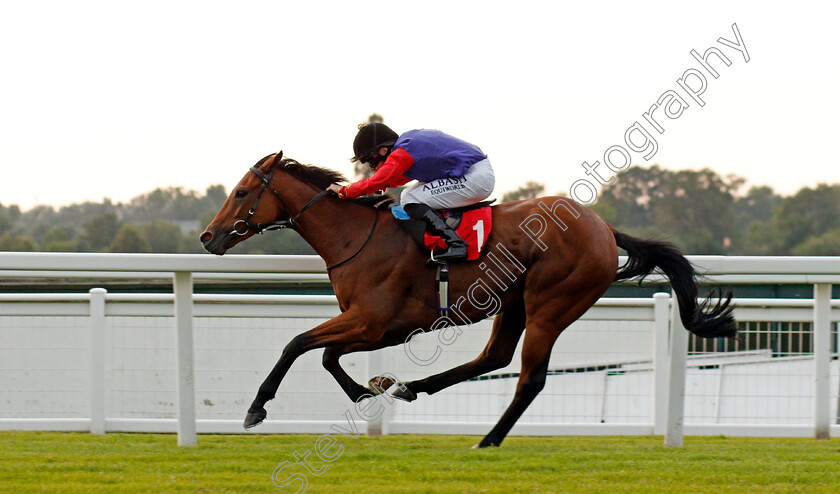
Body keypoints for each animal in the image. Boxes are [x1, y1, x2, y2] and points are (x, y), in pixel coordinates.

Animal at [199, 151, 736, 448]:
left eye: (241, 191)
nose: (208, 236)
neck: (356, 235)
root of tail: (604, 228)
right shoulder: (377, 326)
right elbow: (327, 355)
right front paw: (370, 391)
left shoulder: (372, 320)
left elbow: (298, 344)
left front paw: (256, 408)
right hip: (514, 303)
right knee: (492, 357)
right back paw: (411, 387)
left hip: (551, 304)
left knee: (529, 378)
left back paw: (488, 439)